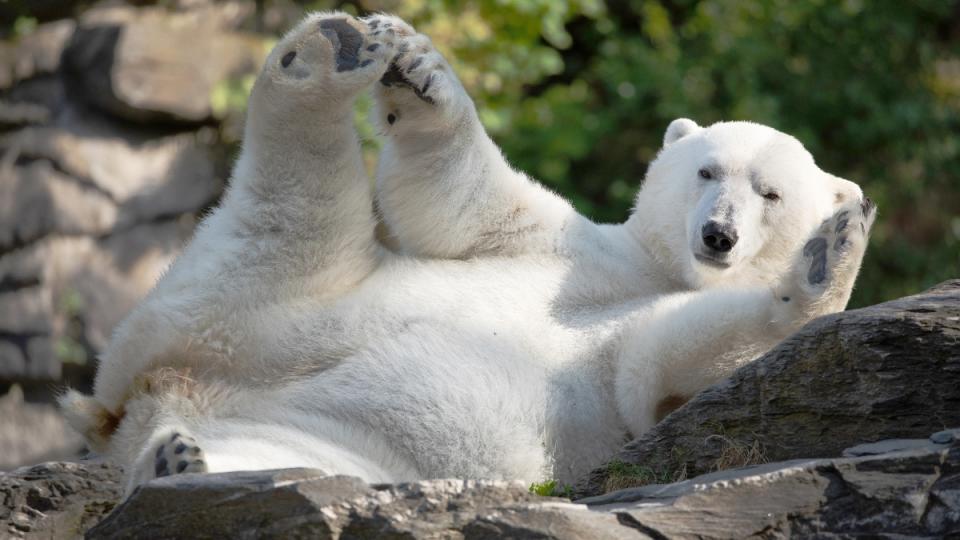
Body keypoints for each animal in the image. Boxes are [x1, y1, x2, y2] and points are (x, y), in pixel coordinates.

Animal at [58, 12, 872, 496]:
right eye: (706, 171)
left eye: (770, 193)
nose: (717, 235)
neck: (660, 269)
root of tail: (143, 394)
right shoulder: (572, 245)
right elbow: (459, 204)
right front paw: (418, 70)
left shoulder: (636, 358)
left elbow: (661, 363)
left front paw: (830, 258)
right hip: (261, 296)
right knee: (291, 211)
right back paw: (325, 55)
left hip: (317, 400)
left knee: (282, 451)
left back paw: (180, 465)